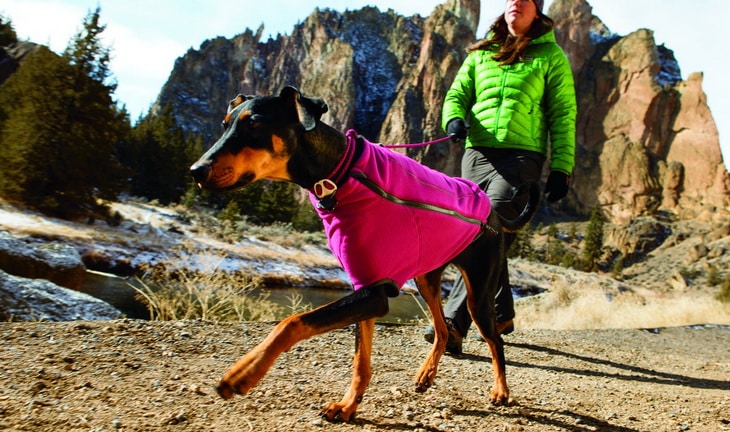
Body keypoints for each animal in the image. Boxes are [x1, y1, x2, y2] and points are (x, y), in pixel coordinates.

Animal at [191, 85, 536, 422]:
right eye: (224, 124)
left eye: (254, 124)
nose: (196, 170)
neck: (338, 174)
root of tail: (493, 212)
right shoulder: (366, 285)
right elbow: (360, 361)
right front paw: (348, 406)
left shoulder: (373, 293)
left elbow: (291, 323)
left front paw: (242, 373)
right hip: (427, 278)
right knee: (441, 329)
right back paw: (426, 374)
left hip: (479, 292)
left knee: (495, 341)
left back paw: (500, 390)